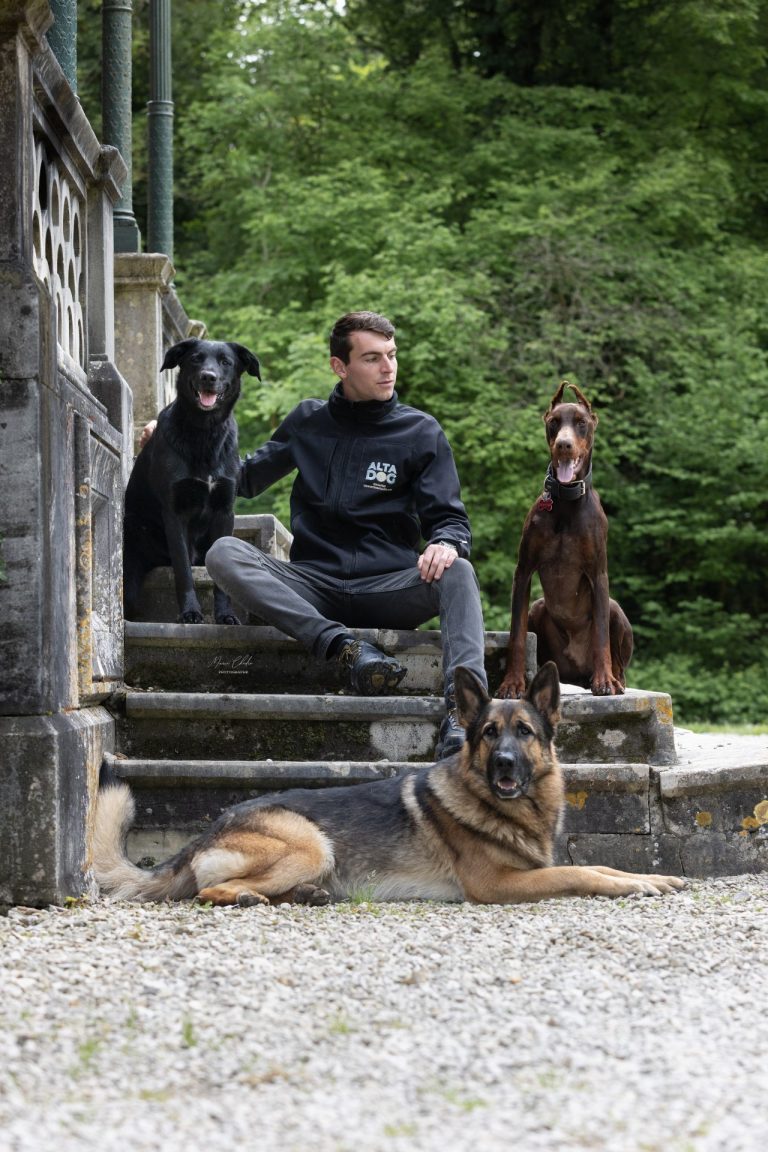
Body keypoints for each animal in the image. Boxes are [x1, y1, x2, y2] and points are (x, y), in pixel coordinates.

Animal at [123, 336, 261, 626]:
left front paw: (225, 614)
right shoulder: (175, 513)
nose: (208, 377)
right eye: (196, 359)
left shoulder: (224, 512)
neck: (204, 434)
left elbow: (221, 577)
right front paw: (190, 612)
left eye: (225, 362)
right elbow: (183, 570)